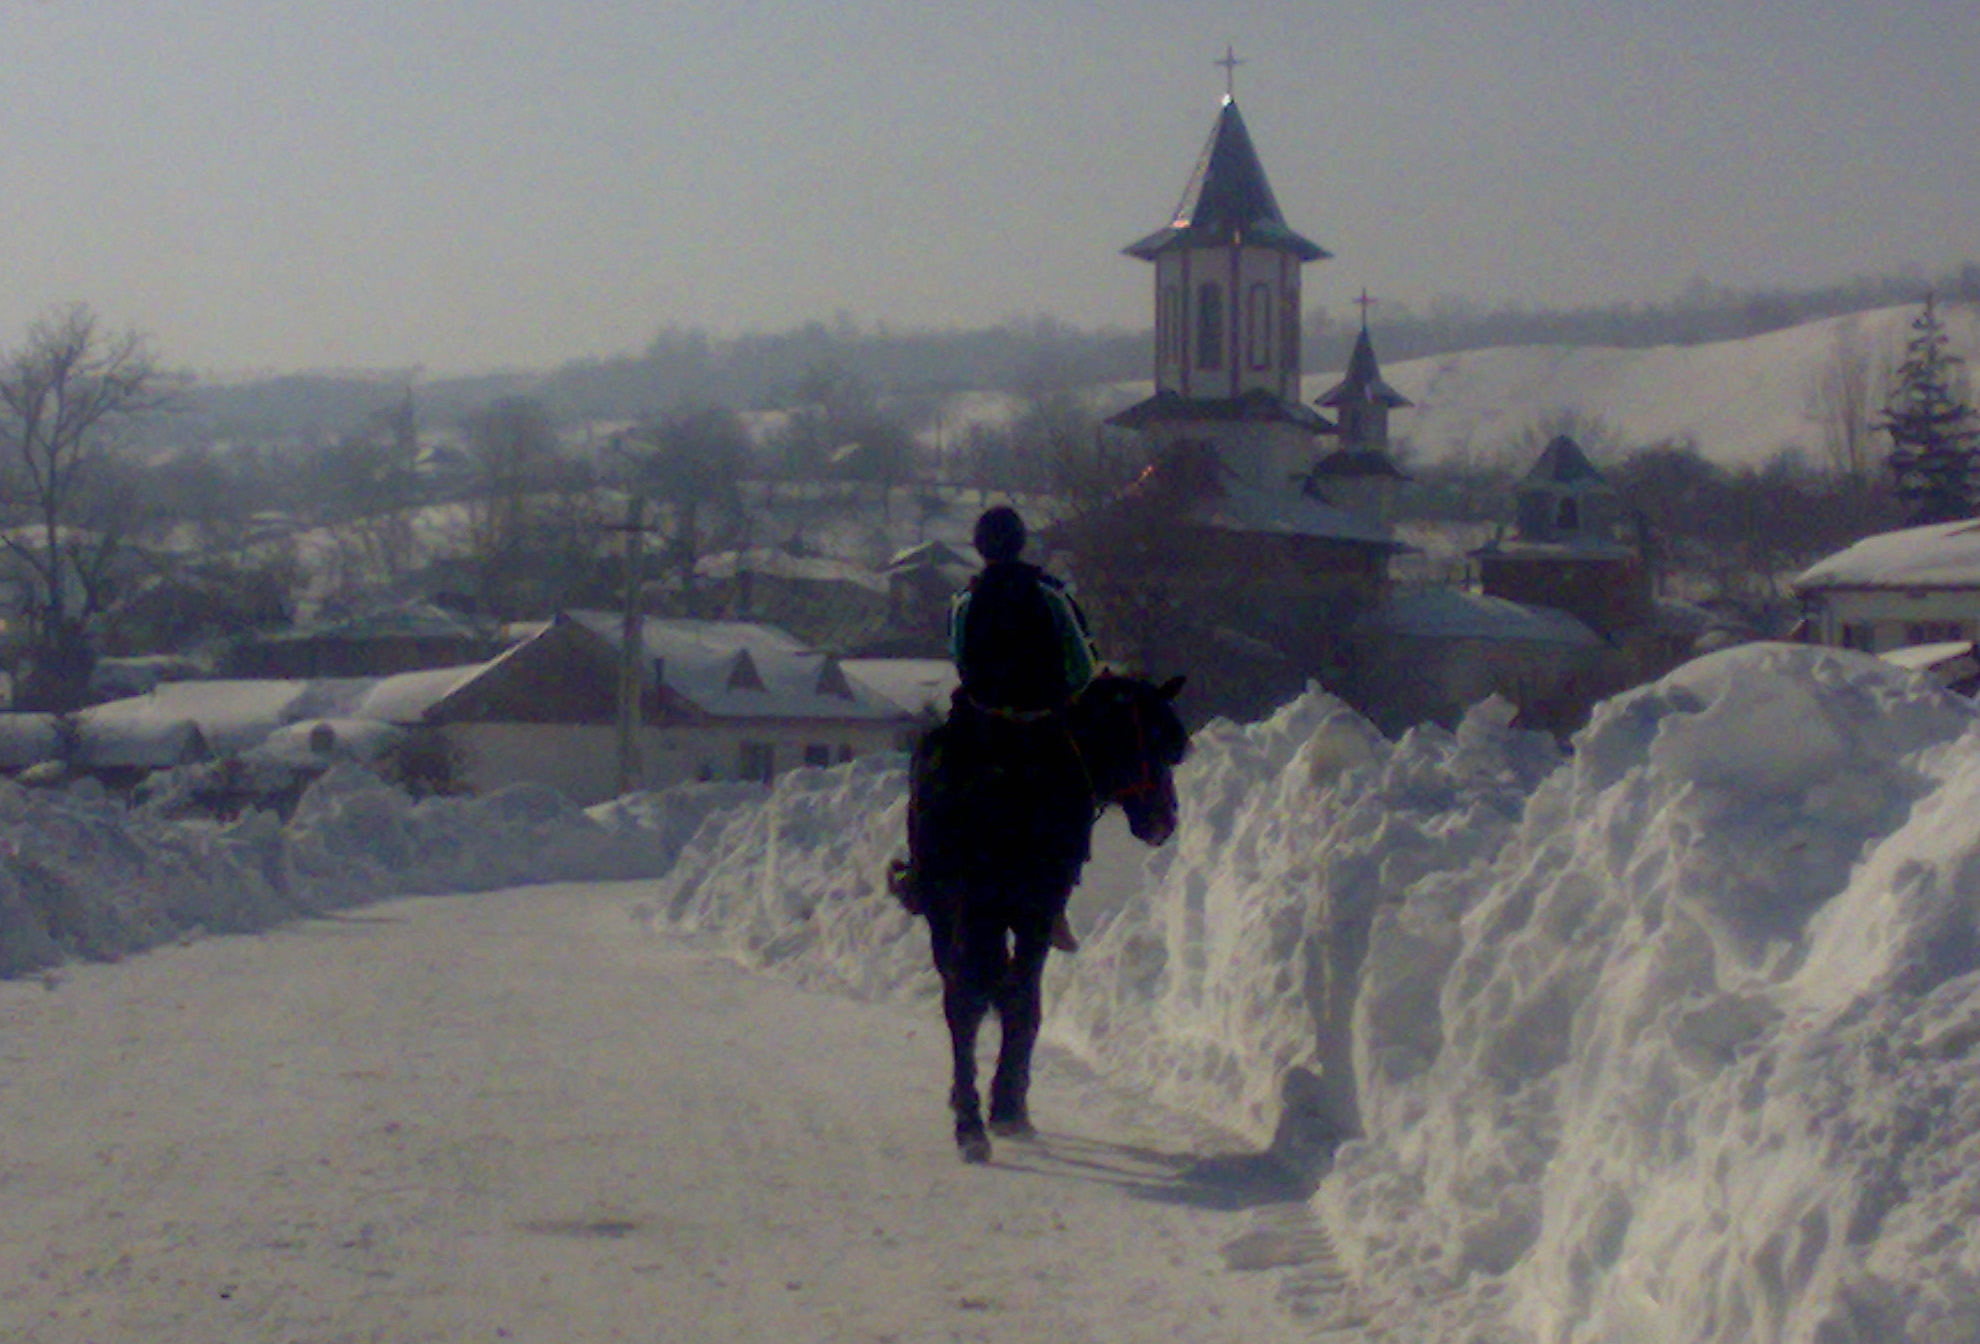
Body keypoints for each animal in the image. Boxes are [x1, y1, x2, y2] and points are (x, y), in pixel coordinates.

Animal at [898, 672, 1188, 1163]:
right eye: (1144, 740)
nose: (1164, 819)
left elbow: (1013, 997)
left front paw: (1003, 1101)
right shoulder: (1016, 913)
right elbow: (1012, 1001)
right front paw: (1002, 1106)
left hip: (959, 911)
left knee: (971, 994)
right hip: (978, 910)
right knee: (974, 997)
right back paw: (976, 1117)